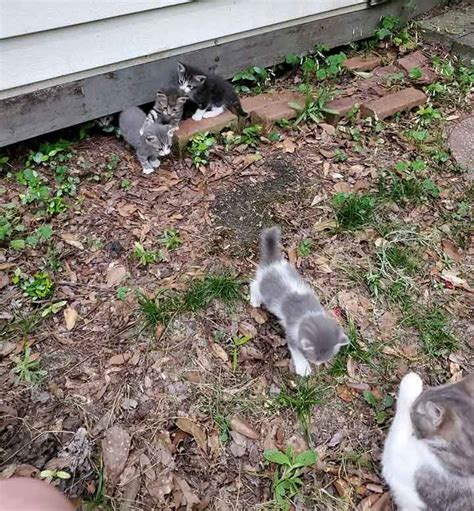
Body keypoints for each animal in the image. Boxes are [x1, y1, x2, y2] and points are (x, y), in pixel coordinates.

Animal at [252, 227, 348, 376]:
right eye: (314, 357)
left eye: (326, 357)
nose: (318, 363)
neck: (309, 314)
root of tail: (273, 263)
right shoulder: (291, 333)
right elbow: (295, 349)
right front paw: (303, 367)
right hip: (265, 290)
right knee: (254, 284)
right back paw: (255, 299)